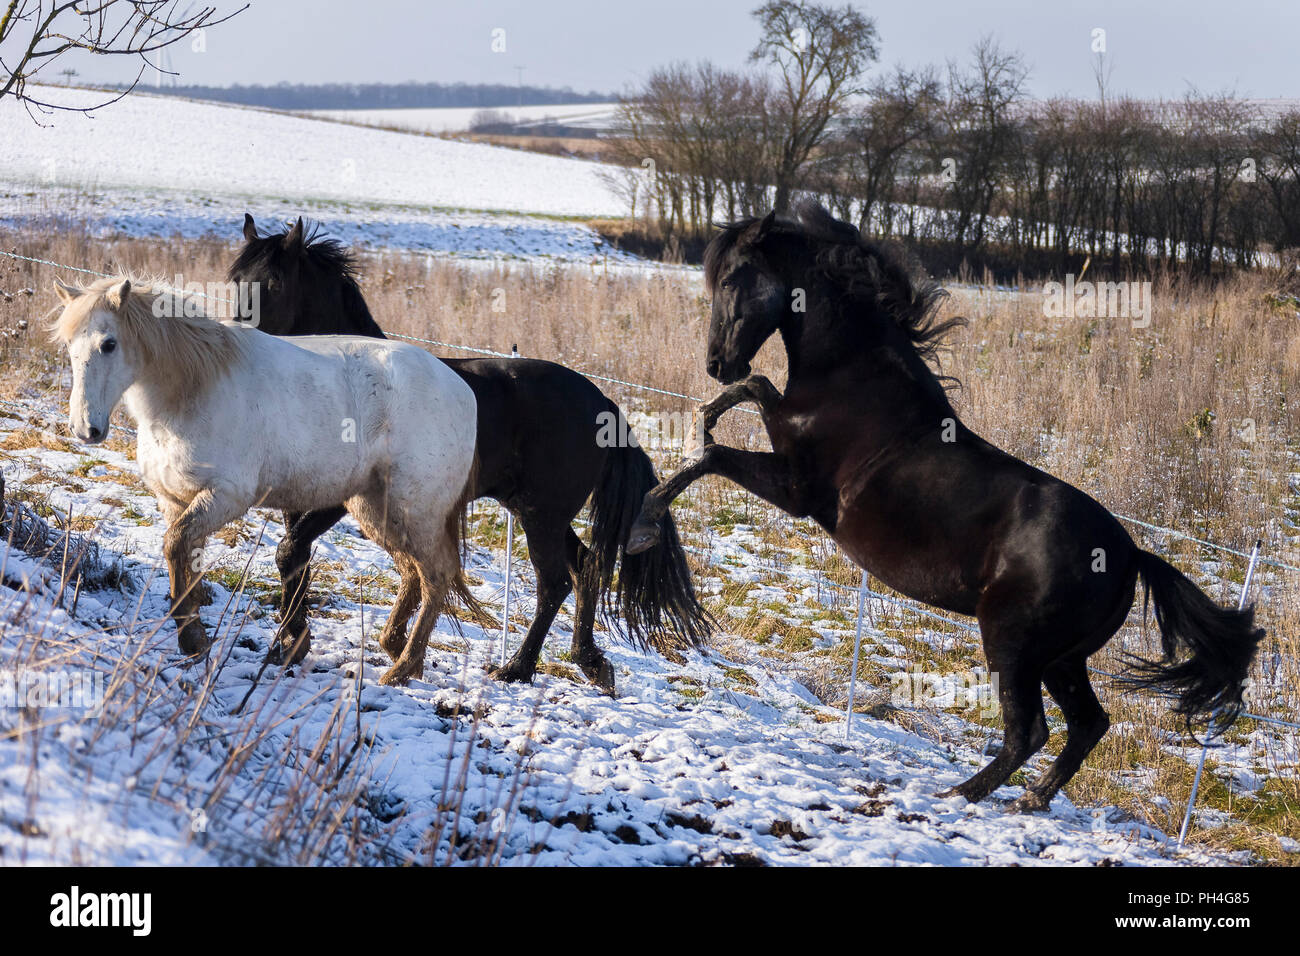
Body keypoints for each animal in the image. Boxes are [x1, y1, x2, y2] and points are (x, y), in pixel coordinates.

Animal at [51, 274, 480, 687]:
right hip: (377, 509)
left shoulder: (225, 497)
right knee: (413, 572)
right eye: (70, 345)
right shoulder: (174, 500)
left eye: (108, 344)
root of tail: (464, 391)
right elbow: (183, 560)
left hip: (415, 511)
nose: (85, 429)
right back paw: (397, 650)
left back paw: (402, 669)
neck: (194, 388)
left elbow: (175, 546)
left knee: (437, 575)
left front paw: (193, 640)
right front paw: (195, 639)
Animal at [226, 215, 711, 693]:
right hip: (534, 510)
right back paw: (588, 661)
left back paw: (517, 667)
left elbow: (291, 551)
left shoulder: (344, 499)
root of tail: (604, 404)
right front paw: (294, 639)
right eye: (235, 279)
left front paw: (298, 640)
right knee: (584, 566)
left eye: (273, 282)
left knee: (554, 582)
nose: (239, 345)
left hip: (541, 514)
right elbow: (297, 556)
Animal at [628, 202, 1263, 811]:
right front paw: (706, 414)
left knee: (1030, 732)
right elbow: (754, 391)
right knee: (1088, 724)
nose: (716, 363)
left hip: (1014, 645)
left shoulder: (797, 489)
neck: (856, 380)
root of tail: (1131, 556)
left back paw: (959, 796)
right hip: (1061, 659)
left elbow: (723, 440)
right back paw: (1029, 800)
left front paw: (645, 522)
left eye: (735, 276)